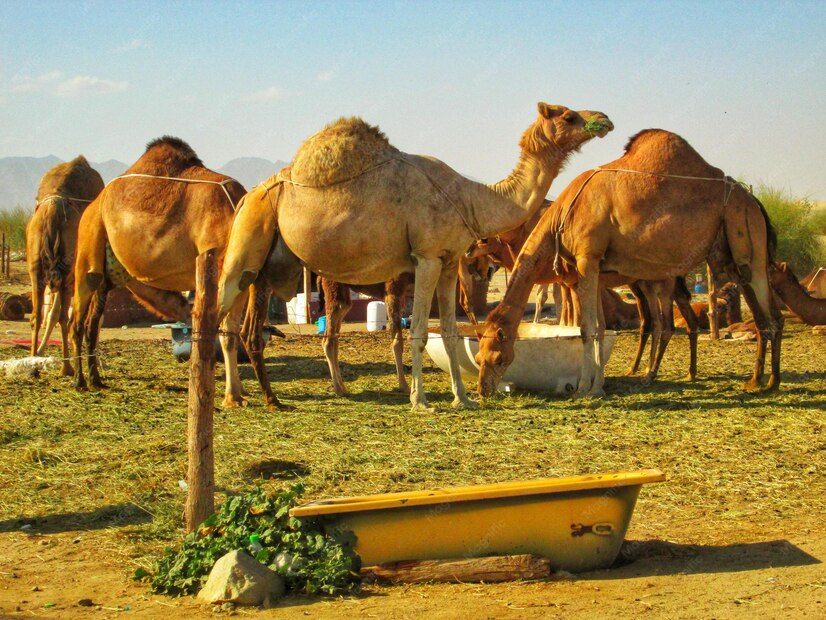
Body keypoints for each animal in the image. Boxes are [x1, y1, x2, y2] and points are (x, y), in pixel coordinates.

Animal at [26, 156, 104, 375]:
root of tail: (52, 209)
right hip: (67, 270)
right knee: (63, 317)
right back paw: (67, 367)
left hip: (37, 267)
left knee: (37, 315)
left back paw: (34, 364)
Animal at [70, 137, 258, 407]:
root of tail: (94, 204)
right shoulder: (219, 270)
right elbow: (217, 330)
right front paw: (224, 395)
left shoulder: (241, 282)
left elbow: (229, 334)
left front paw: (236, 395)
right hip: (88, 246)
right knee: (77, 319)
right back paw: (79, 381)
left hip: (108, 275)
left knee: (92, 325)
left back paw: (96, 380)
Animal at [218, 103, 613, 410]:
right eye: (568, 116)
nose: (604, 118)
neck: (471, 198)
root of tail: (248, 196)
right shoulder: (426, 258)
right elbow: (419, 331)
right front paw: (419, 401)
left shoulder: (450, 260)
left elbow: (451, 332)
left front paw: (462, 399)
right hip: (246, 240)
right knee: (218, 315)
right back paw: (233, 401)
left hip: (261, 267)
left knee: (240, 329)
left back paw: (257, 398)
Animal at [476, 129, 782, 397]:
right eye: (478, 358)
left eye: (496, 358)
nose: (483, 389)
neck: (559, 219)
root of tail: (754, 200)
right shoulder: (592, 271)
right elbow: (599, 327)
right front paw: (597, 385)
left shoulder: (587, 260)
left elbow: (587, 328)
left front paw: (585, 389)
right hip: (727, 256)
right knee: (755, 314)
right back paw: (753, 380)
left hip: (743, 230)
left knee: (770, 312)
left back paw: (770, 383)